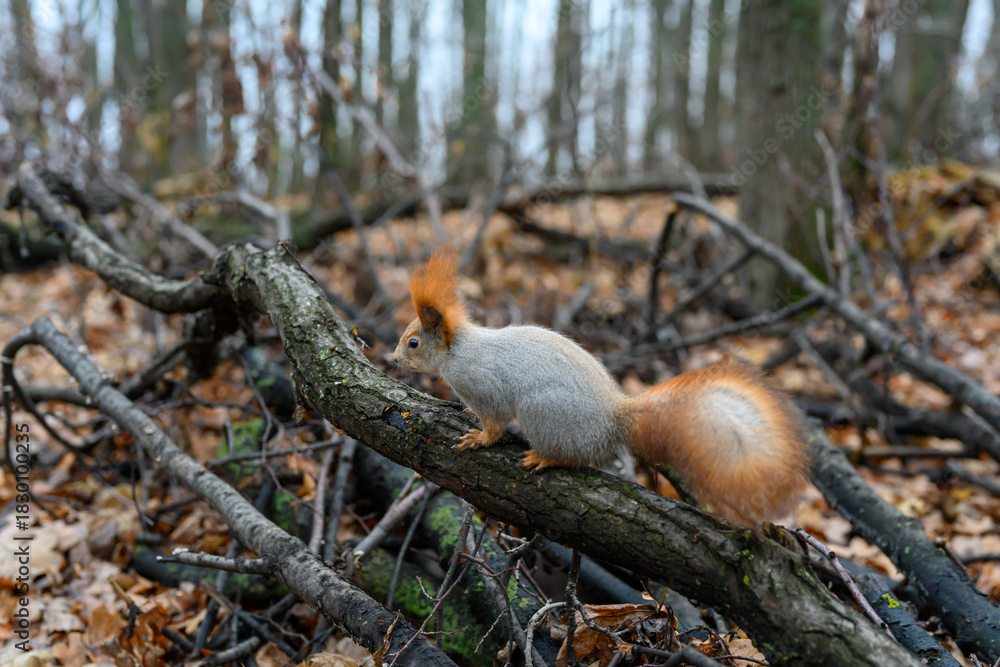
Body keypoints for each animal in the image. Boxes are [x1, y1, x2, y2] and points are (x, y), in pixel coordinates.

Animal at [393, 249, 809, 525]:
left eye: (413, 342)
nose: (393, 358)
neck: (459, 352)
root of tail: (613, 420)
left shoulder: (484, 387)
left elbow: (494, 422)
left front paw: (478, 438)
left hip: (541, 412)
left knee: (572, 456)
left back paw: (545, 458)